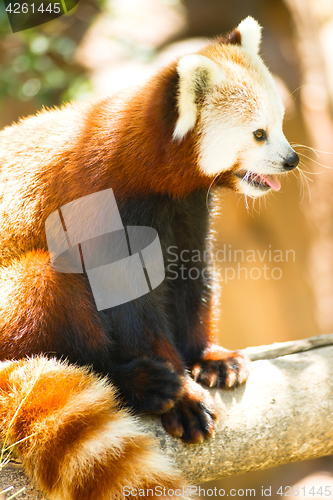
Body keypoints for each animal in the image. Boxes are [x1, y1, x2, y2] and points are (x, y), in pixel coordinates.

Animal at [0, 16, 296, 500]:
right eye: (259, 134)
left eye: (282, 123)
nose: (290, 160)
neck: (150, 174)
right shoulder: (104, 206)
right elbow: (131, 304)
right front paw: (183, 396)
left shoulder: (188, 209)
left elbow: (193, 279)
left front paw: (209, 357)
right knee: (48, 285)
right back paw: (136, 382)